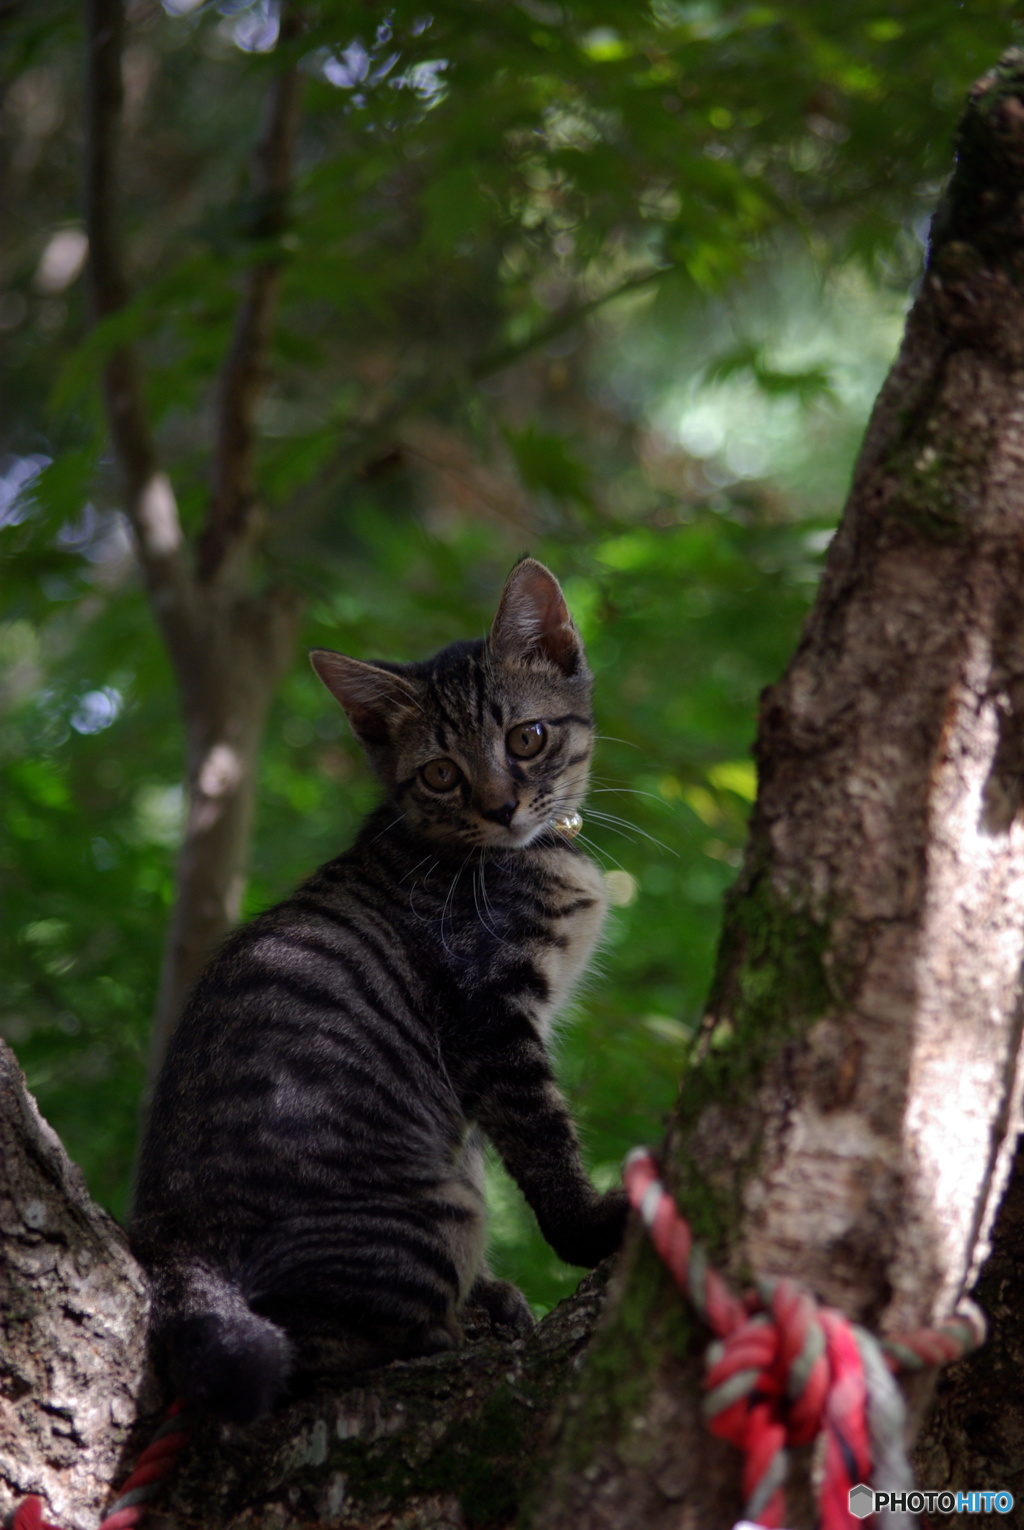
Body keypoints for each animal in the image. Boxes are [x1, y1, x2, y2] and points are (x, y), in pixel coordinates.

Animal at [127, 559, 624, 1419]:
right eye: (441, 774)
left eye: (526, 738)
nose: (502, 806)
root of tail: (168, 1240)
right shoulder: (487, 1017)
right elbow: (541, 1144)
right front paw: (590, 1231)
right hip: (431, 1211)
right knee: (305, 1352)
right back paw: (445, 1331)